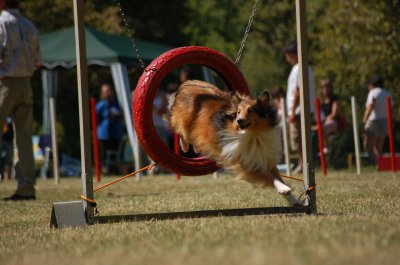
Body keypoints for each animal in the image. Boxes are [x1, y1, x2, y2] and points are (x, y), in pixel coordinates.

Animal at [165, 79, 300, 205]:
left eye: (251, 110)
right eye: (238, 112)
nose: (239, 121)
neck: (254, 134)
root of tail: (187, 83)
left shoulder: (264, 157)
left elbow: (278, 176)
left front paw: (294, 200)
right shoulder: (245, 163)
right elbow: (270, 177)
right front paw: (284, 188)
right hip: (184, 121)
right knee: (182, 133)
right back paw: (185, 146)